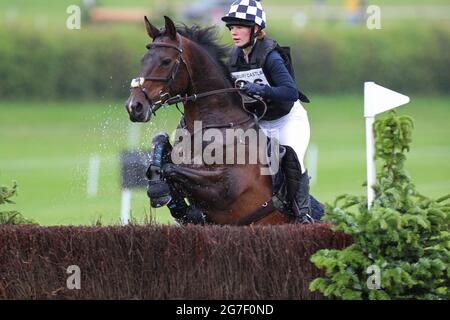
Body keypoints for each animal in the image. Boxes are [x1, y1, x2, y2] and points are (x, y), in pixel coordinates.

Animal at [126, 15, 300, 225]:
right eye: (143, 60)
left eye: (166, 61)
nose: (134, 107)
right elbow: (161, 155)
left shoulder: (225, 189)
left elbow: (170, 169)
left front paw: (159, 191)